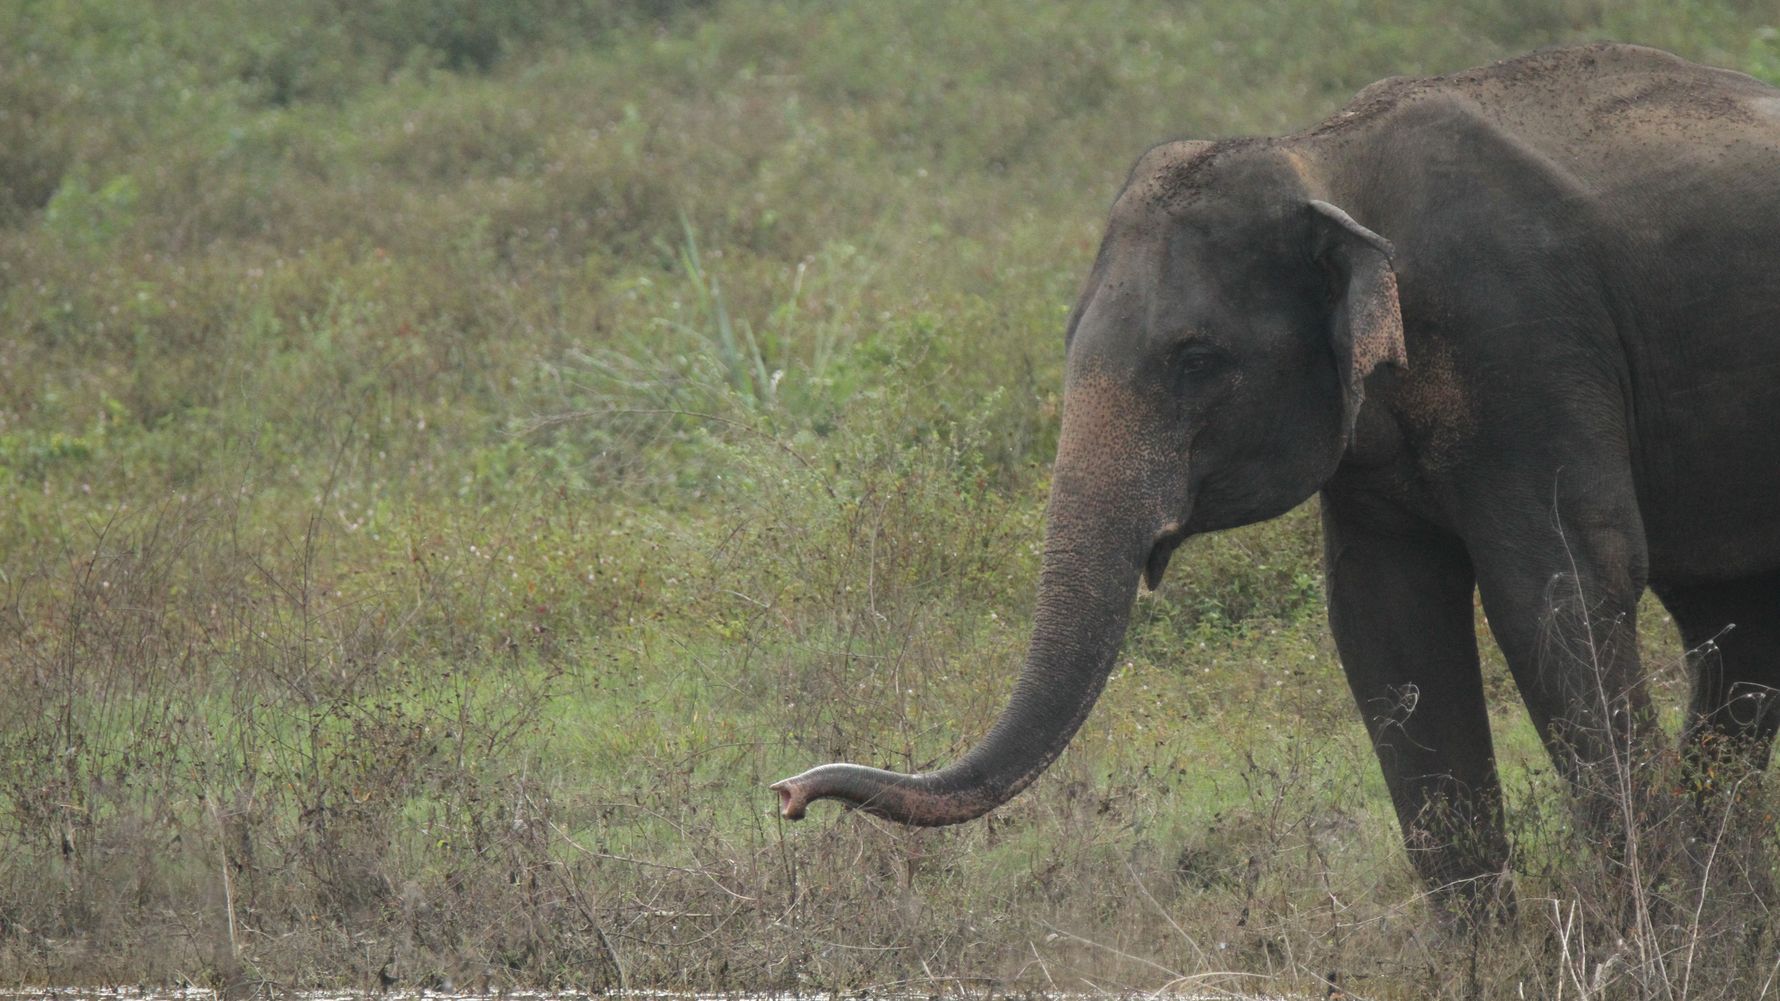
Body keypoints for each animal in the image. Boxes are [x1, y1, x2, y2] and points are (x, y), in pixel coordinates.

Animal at [772, 43, 1780, 908]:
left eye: (1194, 359)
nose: (786, 793)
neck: (1324, 158)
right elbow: (1384, 621)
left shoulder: (1532, 351)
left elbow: (1562, 588)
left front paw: (1649, 936)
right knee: (1733, 628)